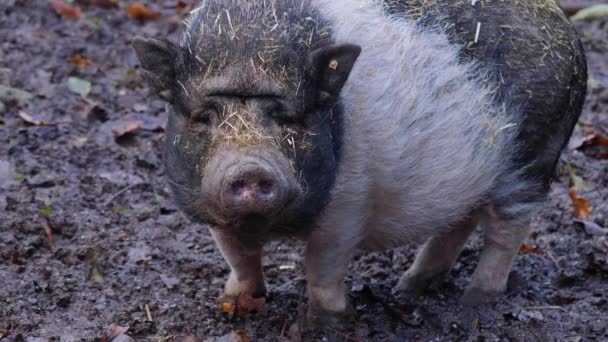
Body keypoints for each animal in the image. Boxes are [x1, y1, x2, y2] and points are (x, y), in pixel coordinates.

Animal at [132, 0, 584, 326]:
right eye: (203, 116)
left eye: (290, 117)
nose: (250, 168)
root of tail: (568, 29)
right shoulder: (209, 205)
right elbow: (238, 256)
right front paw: (233, 306)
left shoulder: (348, 204)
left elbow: (323, 264)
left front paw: (328, 324)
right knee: (461, 221)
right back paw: (409, 288)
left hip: (532, 159)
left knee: (506, 232)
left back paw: (474, 301)